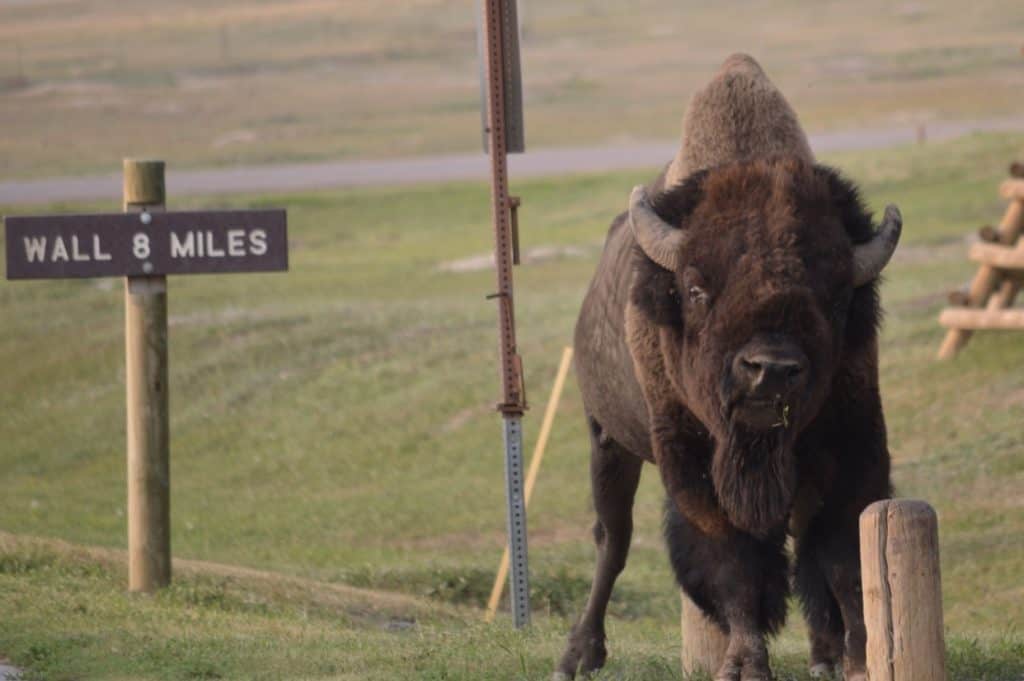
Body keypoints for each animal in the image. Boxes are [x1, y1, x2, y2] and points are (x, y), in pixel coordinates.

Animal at [557, 54, 901, 679]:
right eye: (696, 289)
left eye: (839, 299)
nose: (770, 370)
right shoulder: (695, 463)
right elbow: (734, 561)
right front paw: (743, 663)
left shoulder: (849, 440)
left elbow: (843, 553)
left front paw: (861, 657)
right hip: (607, 441)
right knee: (612, 540)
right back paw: (577, 654)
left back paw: (824, 654)